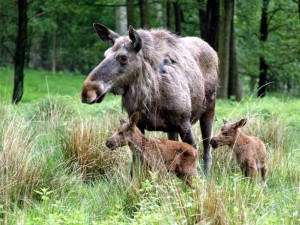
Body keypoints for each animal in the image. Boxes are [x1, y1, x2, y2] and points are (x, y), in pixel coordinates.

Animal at [82, 23, 218, 174]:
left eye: (123, 57)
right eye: (105, 54)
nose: (87, 91)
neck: (151, 99)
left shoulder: (184, 122)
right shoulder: (139, 125)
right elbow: (135, 167)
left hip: (209, 108)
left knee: (207, 149)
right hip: (172, 128)